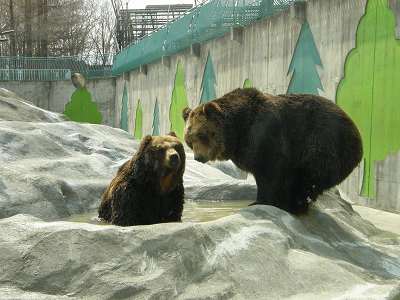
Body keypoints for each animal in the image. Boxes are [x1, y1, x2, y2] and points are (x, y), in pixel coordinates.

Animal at [183, 88, 364, 214]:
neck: (237, 131)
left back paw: (295, 203)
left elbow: (269, 173)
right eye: (189, 140)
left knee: (308, 175)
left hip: (324, 143)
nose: (198, 157)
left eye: (202, 135)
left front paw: (260, 201)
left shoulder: (266, 137)